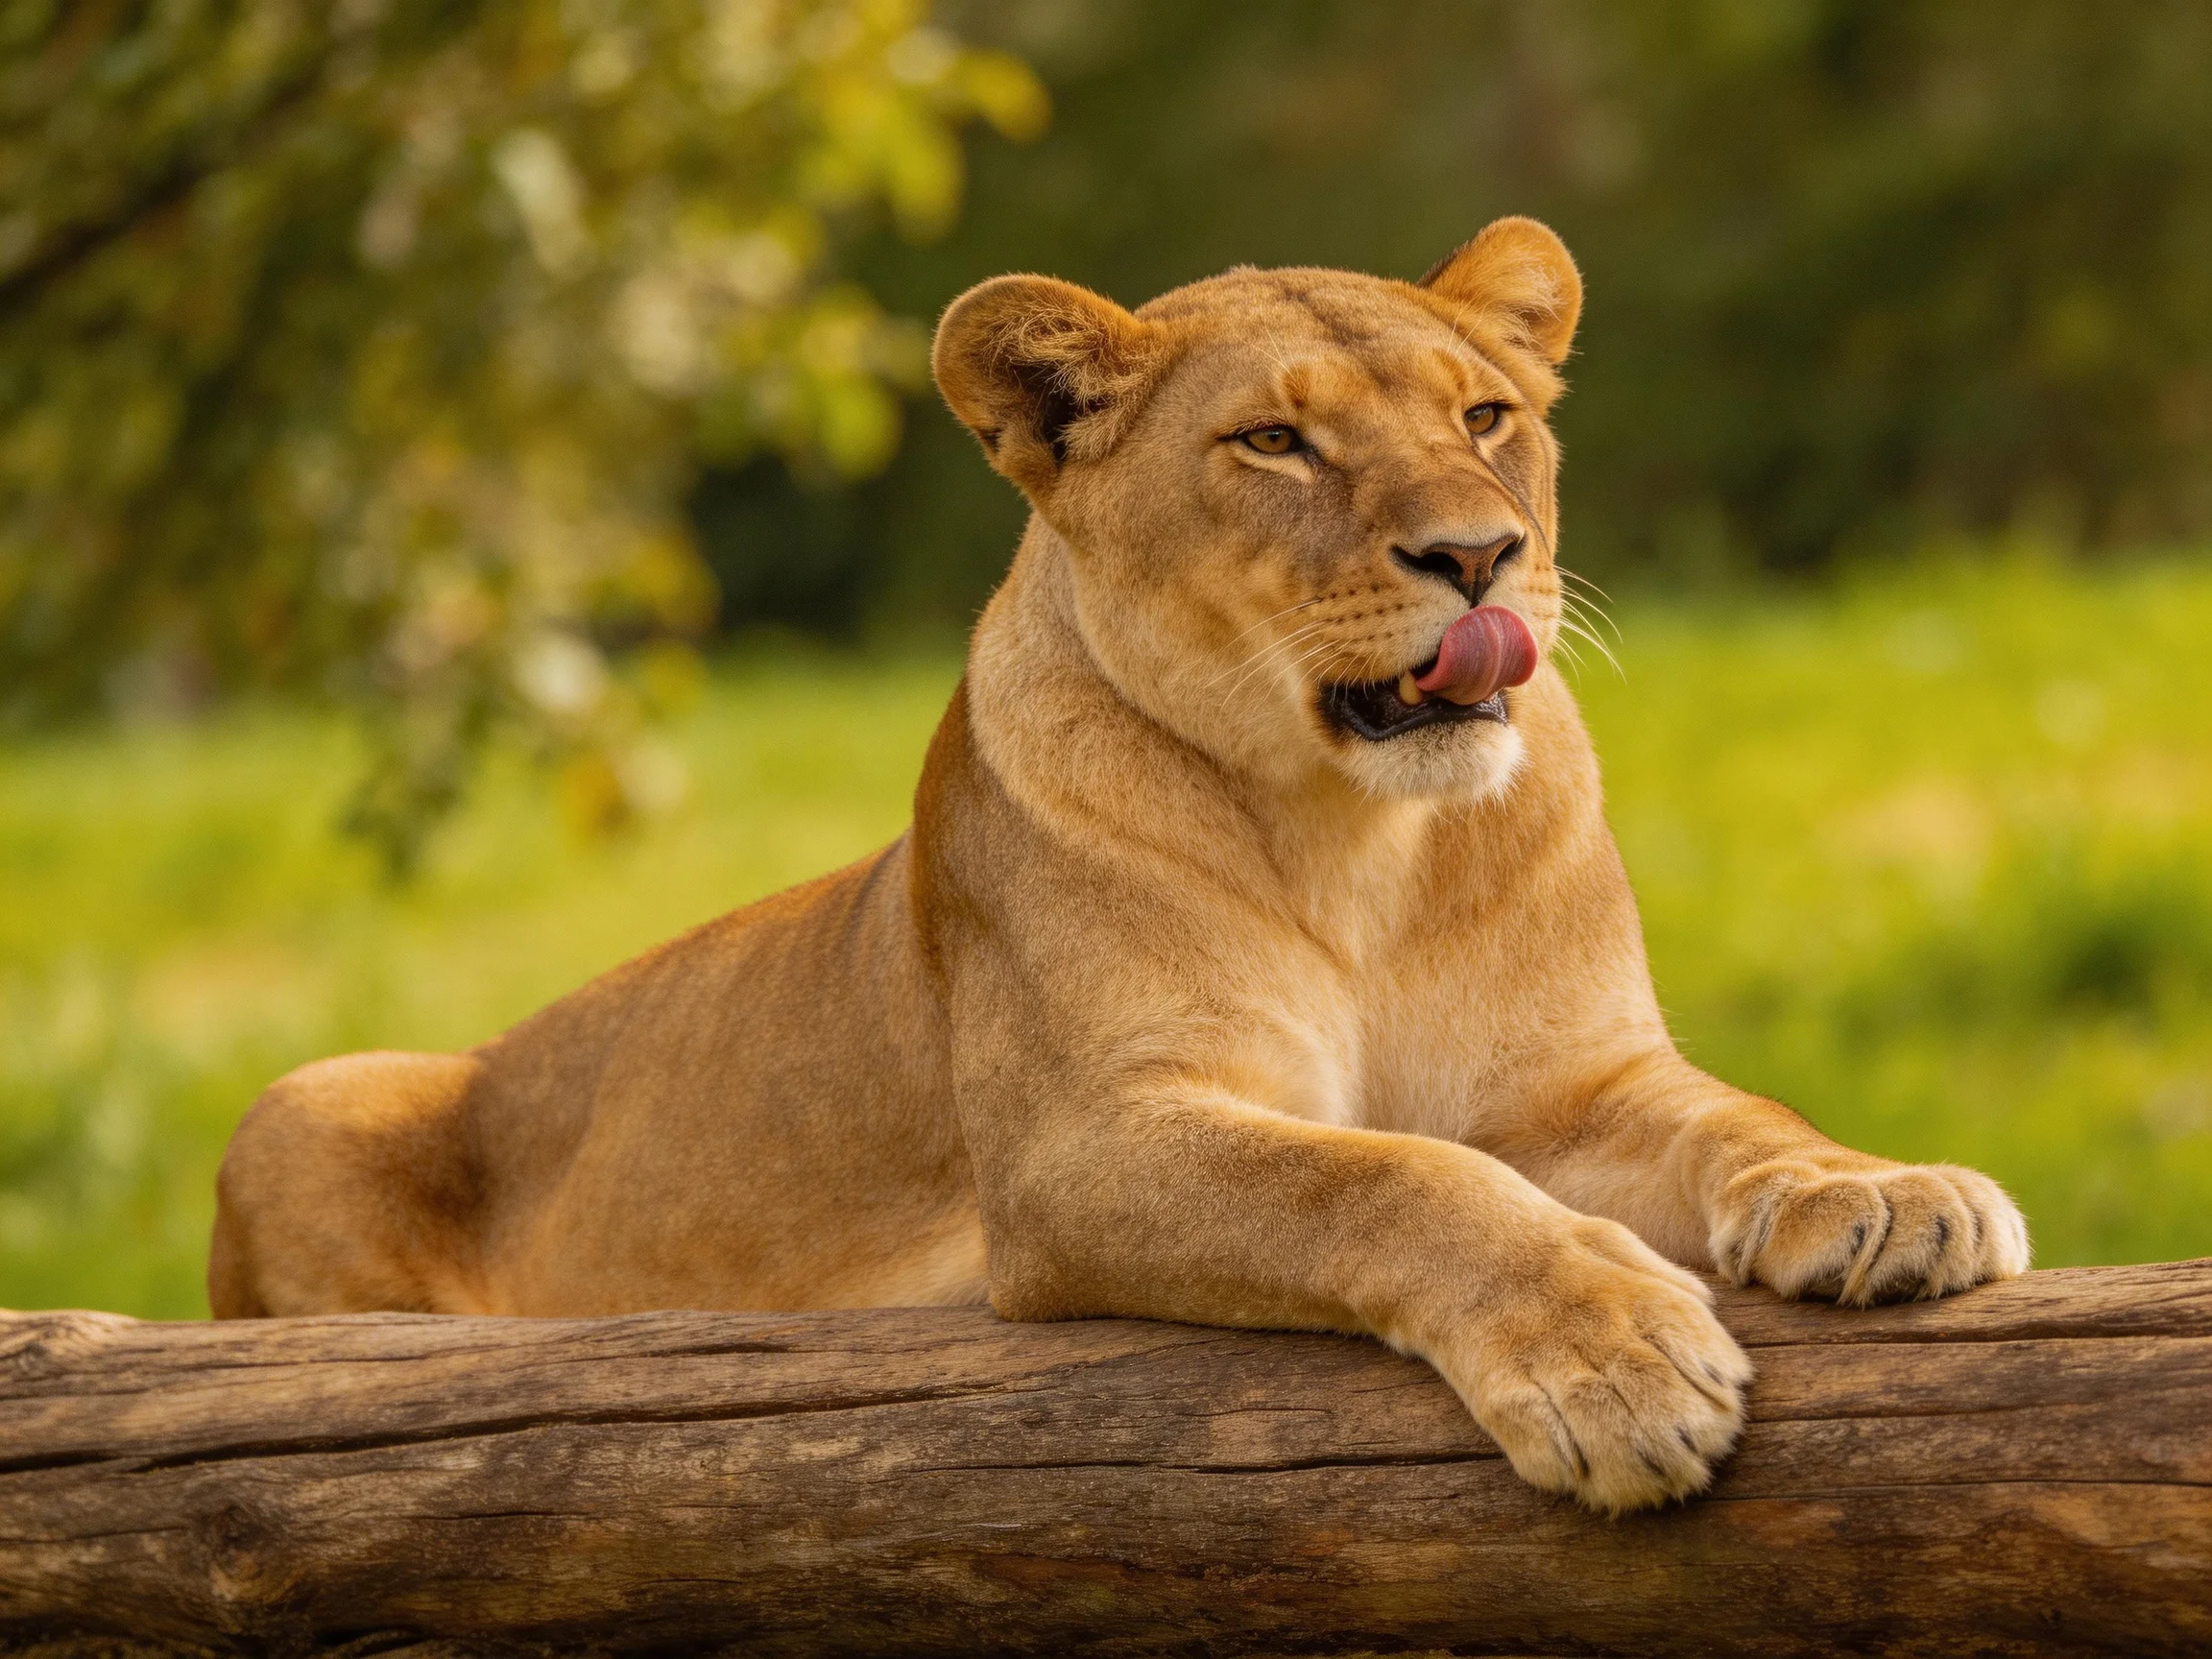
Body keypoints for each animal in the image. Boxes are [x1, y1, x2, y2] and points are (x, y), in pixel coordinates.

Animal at [209, 218, 2030, 1513]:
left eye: (1485, 417)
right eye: (1274, 445)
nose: (1480, 554)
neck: (1361, 842)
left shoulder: (1575, 1085)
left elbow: (1738, 1116)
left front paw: (1882, 1193)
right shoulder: (1082, 1147)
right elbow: (1386, 1177)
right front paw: (1613, 1360)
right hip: (306, 1097)